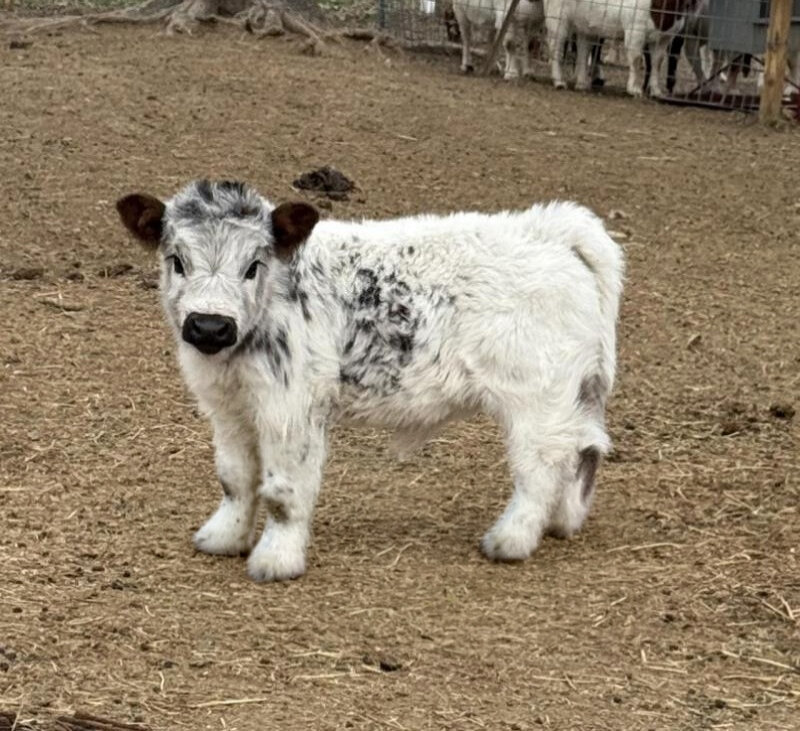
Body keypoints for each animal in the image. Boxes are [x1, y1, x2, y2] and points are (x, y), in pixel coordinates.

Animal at [115, 180, 624, 582]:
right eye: (177, 260)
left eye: (253, 266)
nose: (209, 327)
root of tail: (552, 230)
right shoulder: (229, 409)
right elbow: (235, 479)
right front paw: (223, 538)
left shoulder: (290, 409)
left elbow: (282, 492)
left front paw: (276, 560)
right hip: (574, 394)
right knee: (584, 450)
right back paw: (562, 522)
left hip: (536, 400)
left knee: (542, 467)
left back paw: (509, 540)